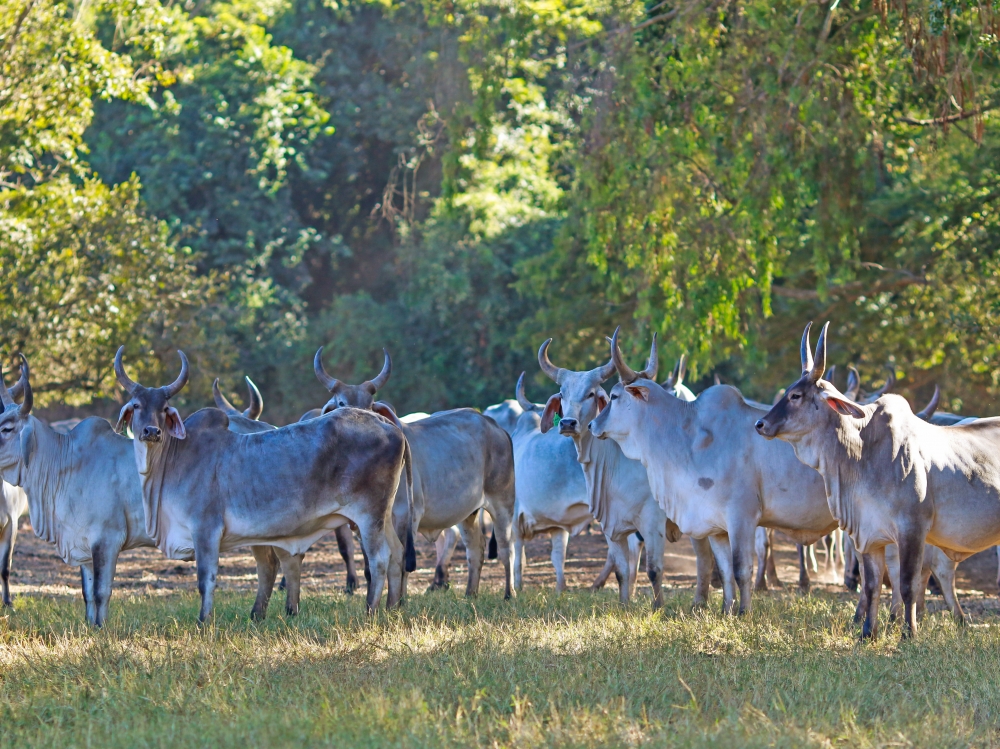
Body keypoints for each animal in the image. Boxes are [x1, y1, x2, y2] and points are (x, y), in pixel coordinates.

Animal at [111, 348, 404, 624]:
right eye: (136, 405)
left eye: (164, 408)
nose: (151, 432)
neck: (174, 458)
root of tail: (389, 426)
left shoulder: (205, 529)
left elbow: (206, 579)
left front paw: (203, 621)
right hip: (383, 516)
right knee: (397, 553)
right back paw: (392, 608)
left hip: (368, 516)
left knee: (379, 559)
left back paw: (370, 612)